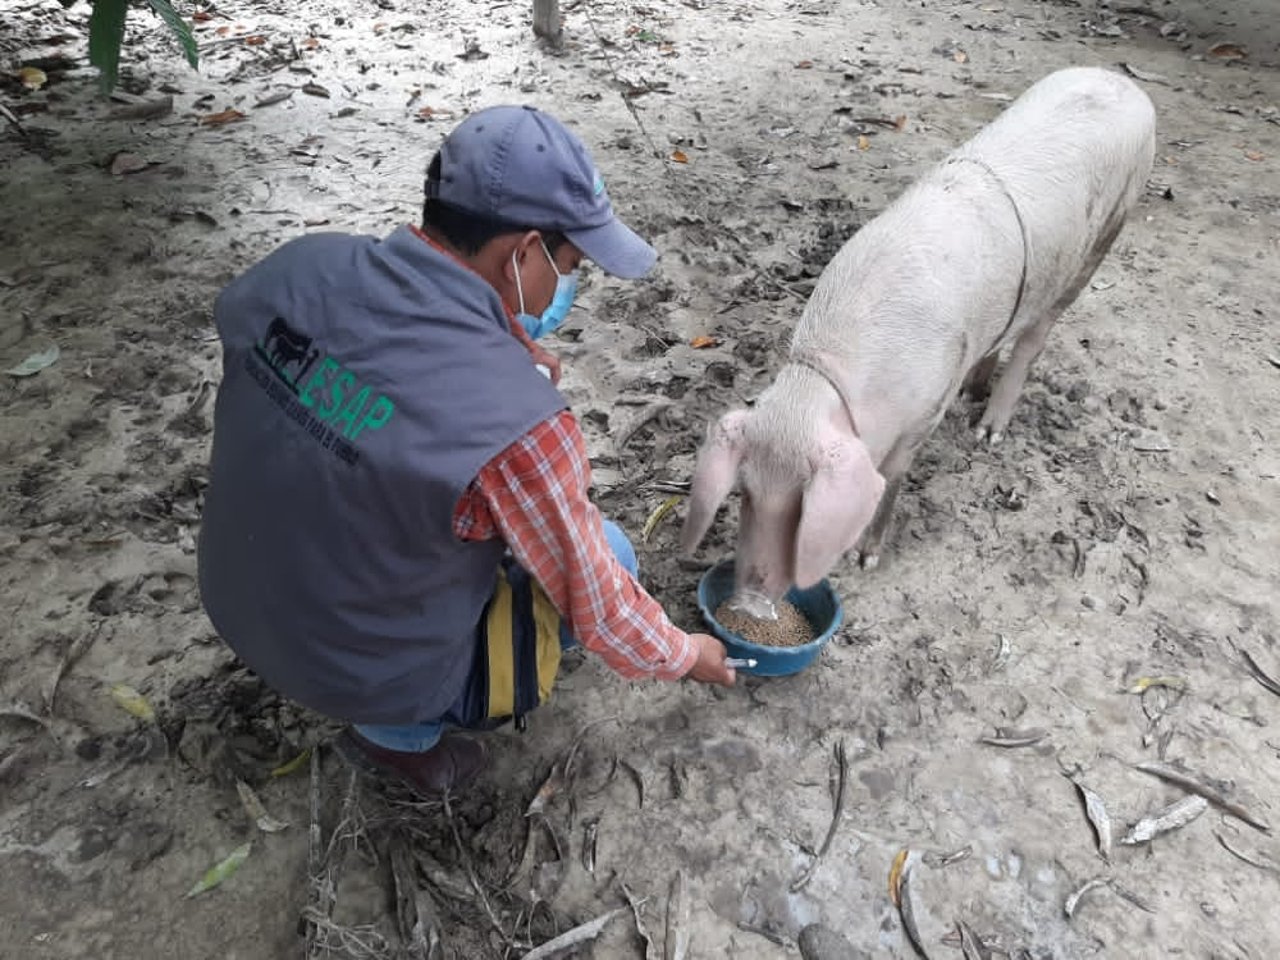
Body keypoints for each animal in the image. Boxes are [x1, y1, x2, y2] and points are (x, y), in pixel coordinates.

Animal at [680, 67, 1162, 611]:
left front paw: (864, 560)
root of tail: (1123, 83)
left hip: (1108, 229)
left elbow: (892, 479)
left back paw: (987, 433)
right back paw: (976, 393)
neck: (834, 383)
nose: (747, 605)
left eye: (802, 508)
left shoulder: (924, 412)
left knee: (1037, 334)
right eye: (745, 493)